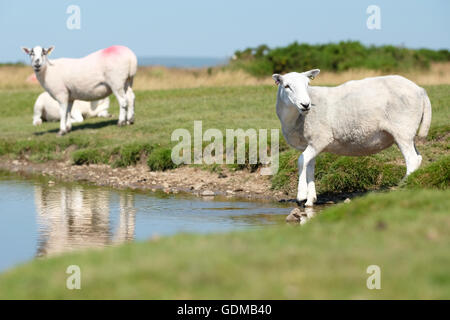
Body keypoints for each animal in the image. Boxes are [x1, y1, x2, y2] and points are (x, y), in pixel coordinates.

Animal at [274, 69, 432, 206]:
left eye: (307, 85)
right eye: (287, 86)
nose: (305, 104)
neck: (295, 117)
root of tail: (420, 90)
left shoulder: (320, 138)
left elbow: (301, 161)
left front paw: (301, 195)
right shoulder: (310, 143)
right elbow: (309, 167)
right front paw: (310, 200)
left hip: (402, 128)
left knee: (412, 160)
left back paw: (402, 187)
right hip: (408, 132)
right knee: (418, 158)